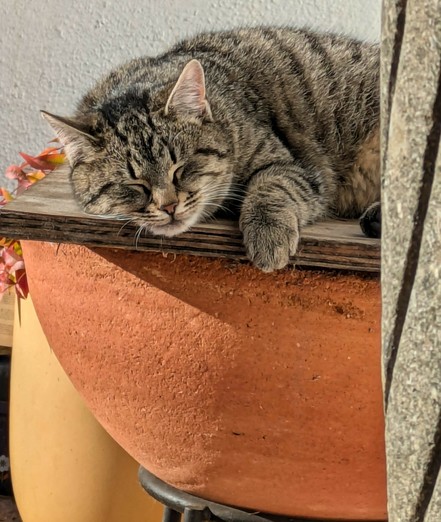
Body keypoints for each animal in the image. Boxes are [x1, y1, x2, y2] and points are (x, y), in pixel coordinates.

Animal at [41, 25, 380, 270]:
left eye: (180, 168)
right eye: (135, 184)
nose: (169, 206)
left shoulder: (293, 166)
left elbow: (270, 188)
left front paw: (268, 235)